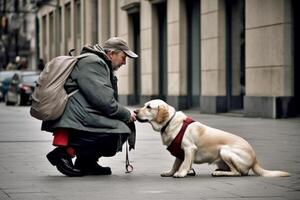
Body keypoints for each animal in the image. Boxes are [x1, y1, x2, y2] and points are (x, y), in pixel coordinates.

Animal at [135, 99, 290, 177]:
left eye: (149, 107)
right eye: (144, 105)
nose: (135, 112)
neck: (170, 122)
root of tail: (255, 160)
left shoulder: (189, 149)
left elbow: (184, 164)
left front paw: (182, 173)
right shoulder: (180, 153)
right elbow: (176, 164)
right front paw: (170, 172)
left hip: (225, 151)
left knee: (238, 173)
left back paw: (221, 173)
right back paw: (221, 171)